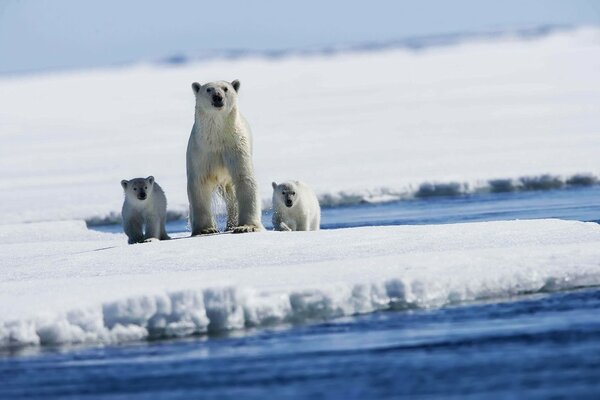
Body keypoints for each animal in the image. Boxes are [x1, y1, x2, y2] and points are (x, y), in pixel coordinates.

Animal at [186, 79, 264, 234]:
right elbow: (199, 183)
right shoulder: (201, 152)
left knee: (231, 195)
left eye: (225, 88)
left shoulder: (235, 147)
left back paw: (231, 224)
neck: (217, 138)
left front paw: (246, 226)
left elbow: (244, 178)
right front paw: (206, 229)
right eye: (208, 89)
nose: (217, 97)